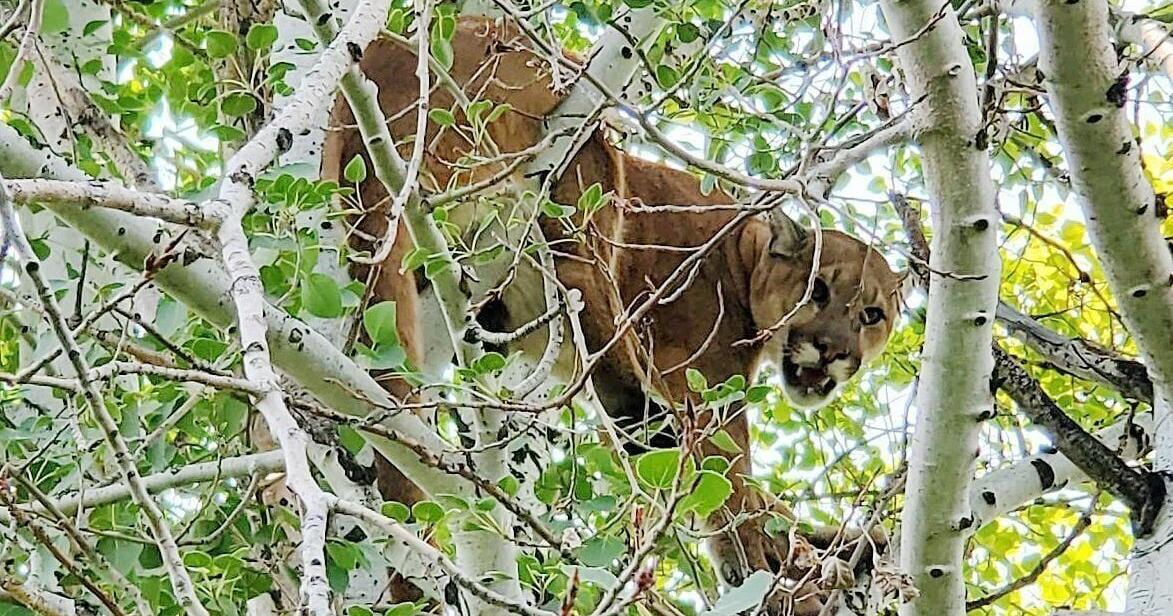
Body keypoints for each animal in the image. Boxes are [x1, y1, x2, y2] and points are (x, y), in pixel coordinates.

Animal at [322, 16, 903, 614]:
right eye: (818, 290)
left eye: (872, 315)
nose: (833, 351)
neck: (742, 260)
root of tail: (378, 71)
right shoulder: (707, 383)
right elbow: (729, 480)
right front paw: (773, 569)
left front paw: (827, 547)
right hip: (584, 157)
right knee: (585, 290)